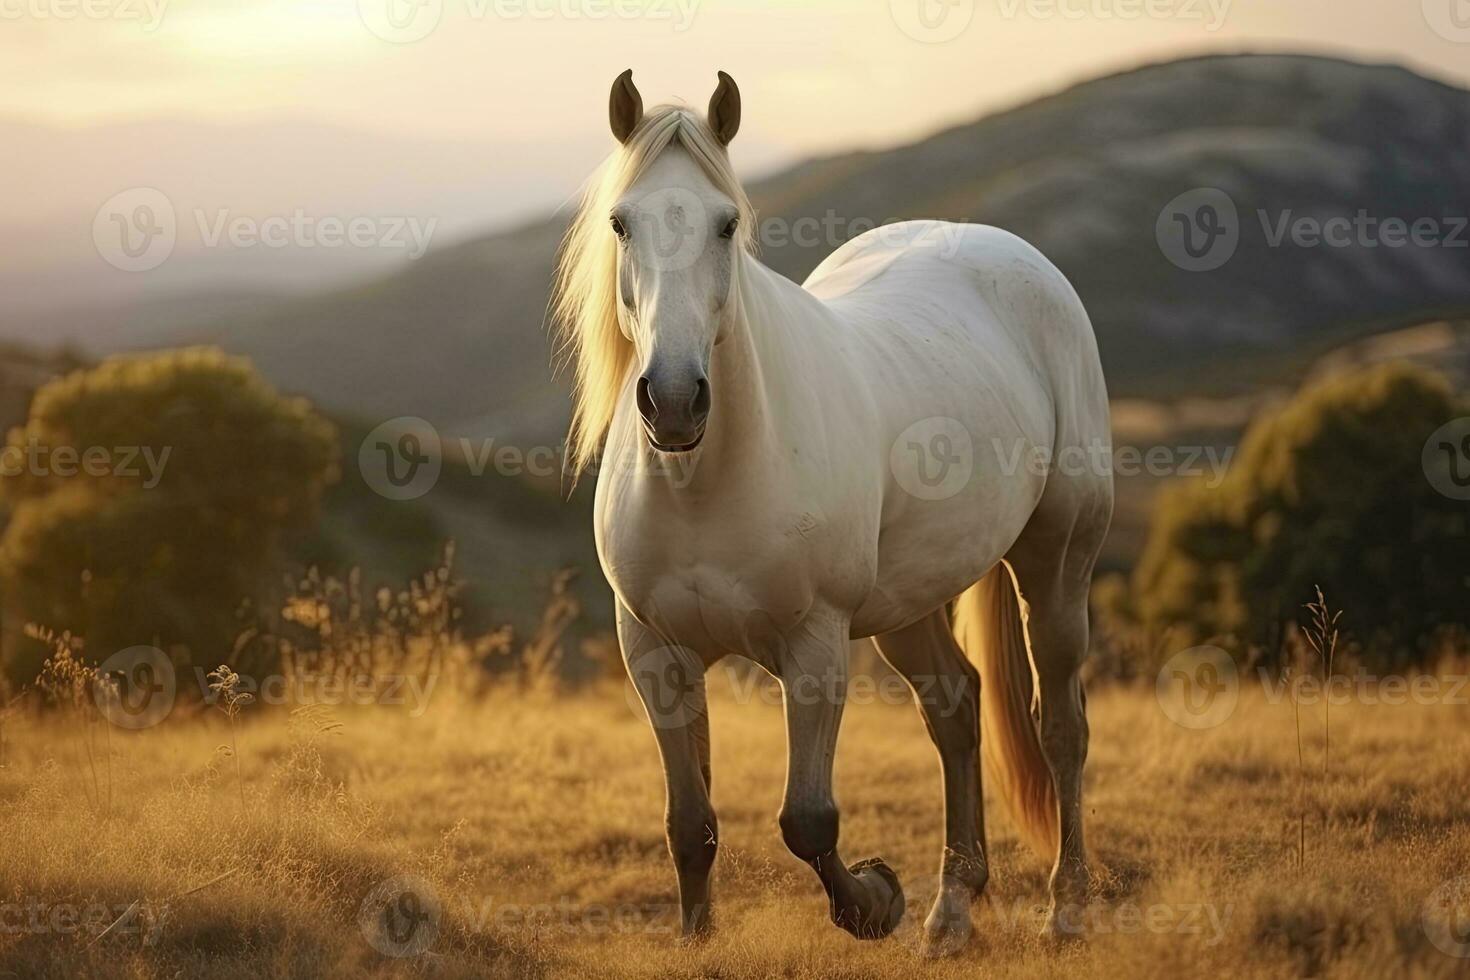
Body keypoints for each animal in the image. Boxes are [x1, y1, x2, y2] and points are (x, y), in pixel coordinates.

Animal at [552, 72, 1111, 952]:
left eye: (726, 223)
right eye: (620, 222)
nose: (673, 401)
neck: (706, 481)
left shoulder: (813, 648)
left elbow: (807, 820)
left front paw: (875, 899)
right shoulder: (655, 653)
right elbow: (690, 825)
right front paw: (698, 940)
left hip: (1056, 560)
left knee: (1061, 725)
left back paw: (1067, 909)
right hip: (906, 605)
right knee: (956, 710)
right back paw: (953, 909)